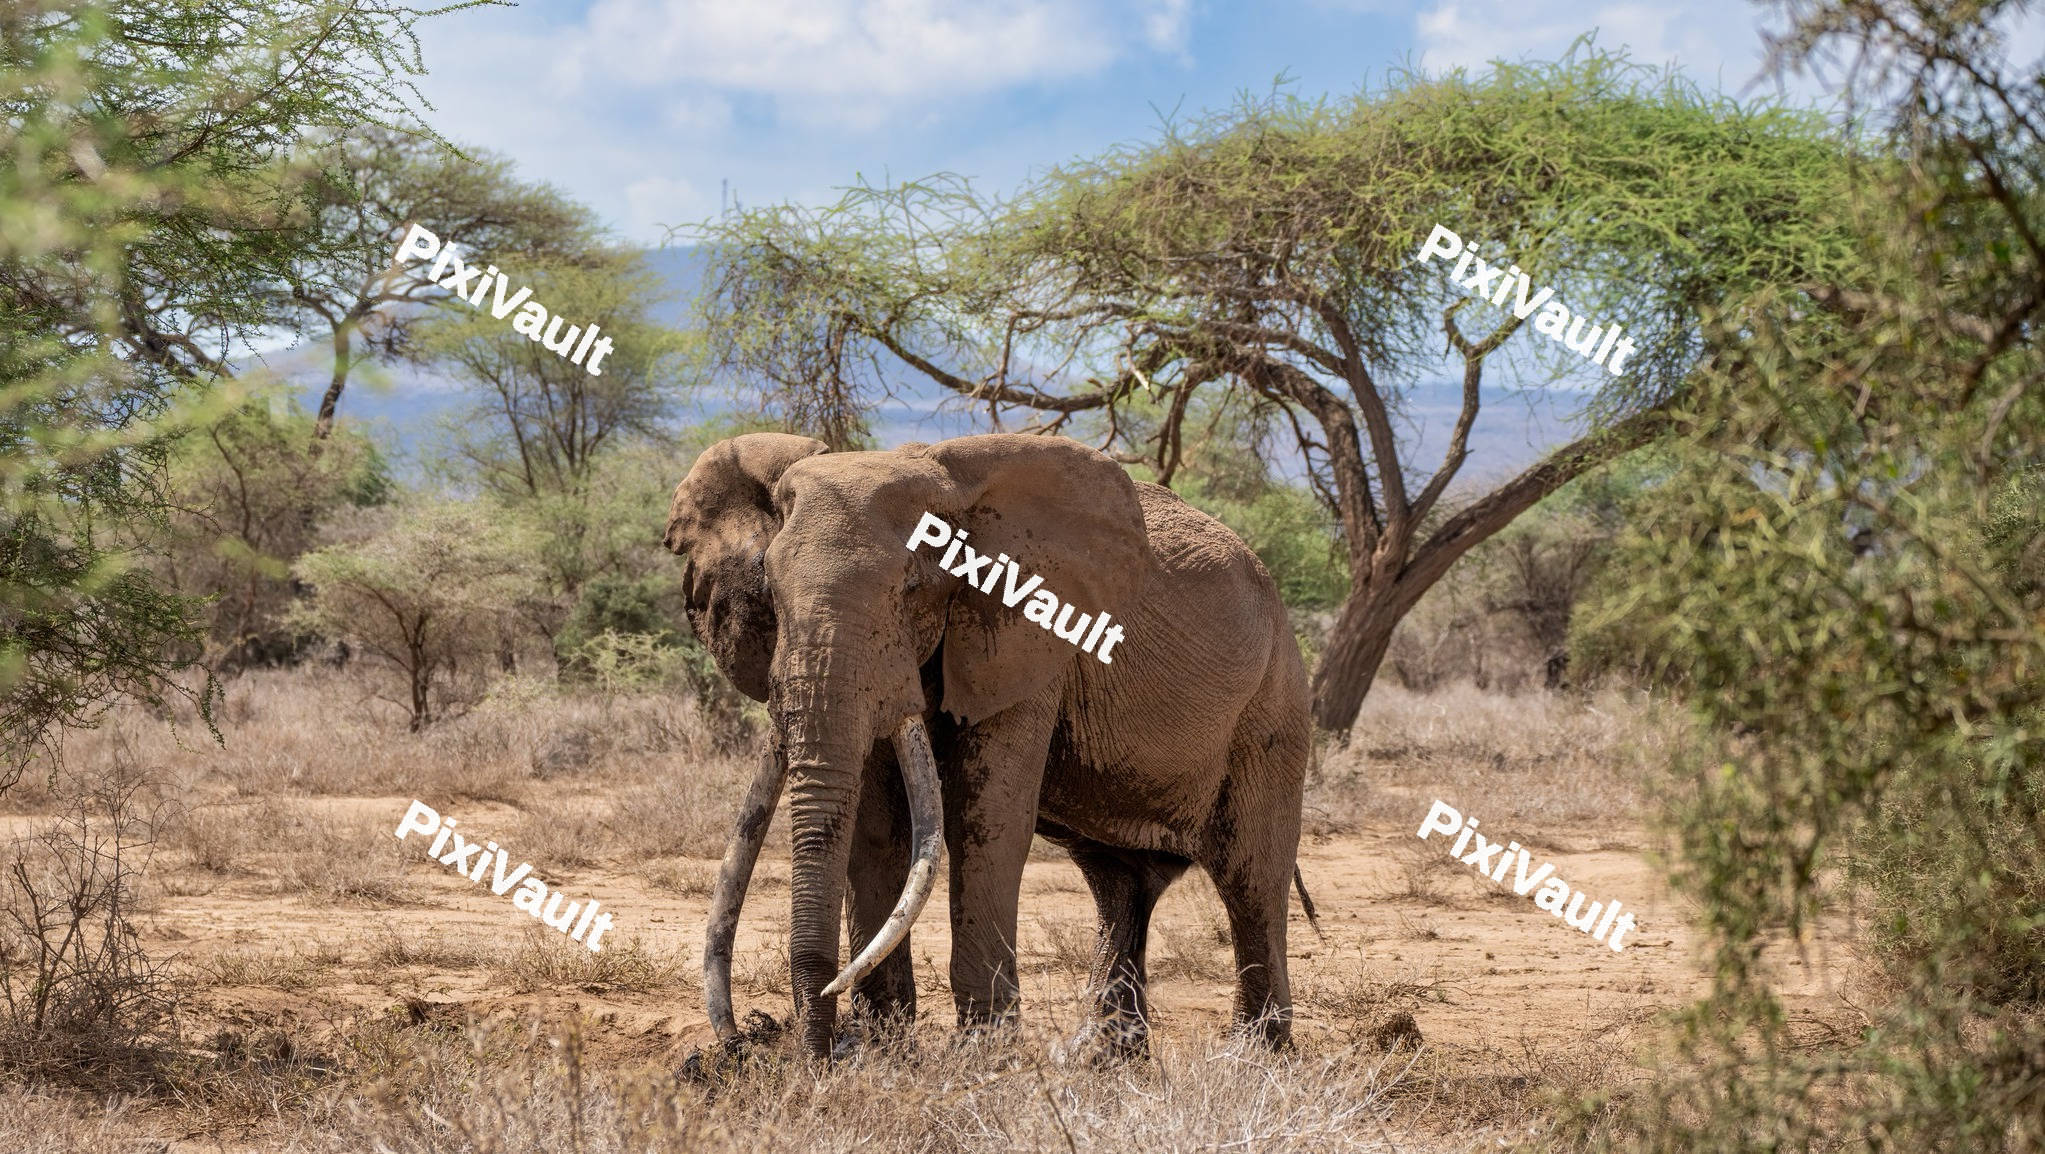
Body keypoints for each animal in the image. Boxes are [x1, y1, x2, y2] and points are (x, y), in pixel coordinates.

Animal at [662, 431, 1312, 1060]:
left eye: (914, 588)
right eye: (768, 590)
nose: (742, 1042)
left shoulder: (1029, 637)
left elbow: (988, 818)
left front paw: (984, 1055)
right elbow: (878, 825)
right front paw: (882, 1050)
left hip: (1274, 703)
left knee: (1250, 878)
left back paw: (1252, 1058)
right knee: (1118, 883)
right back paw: (1102, 1058)